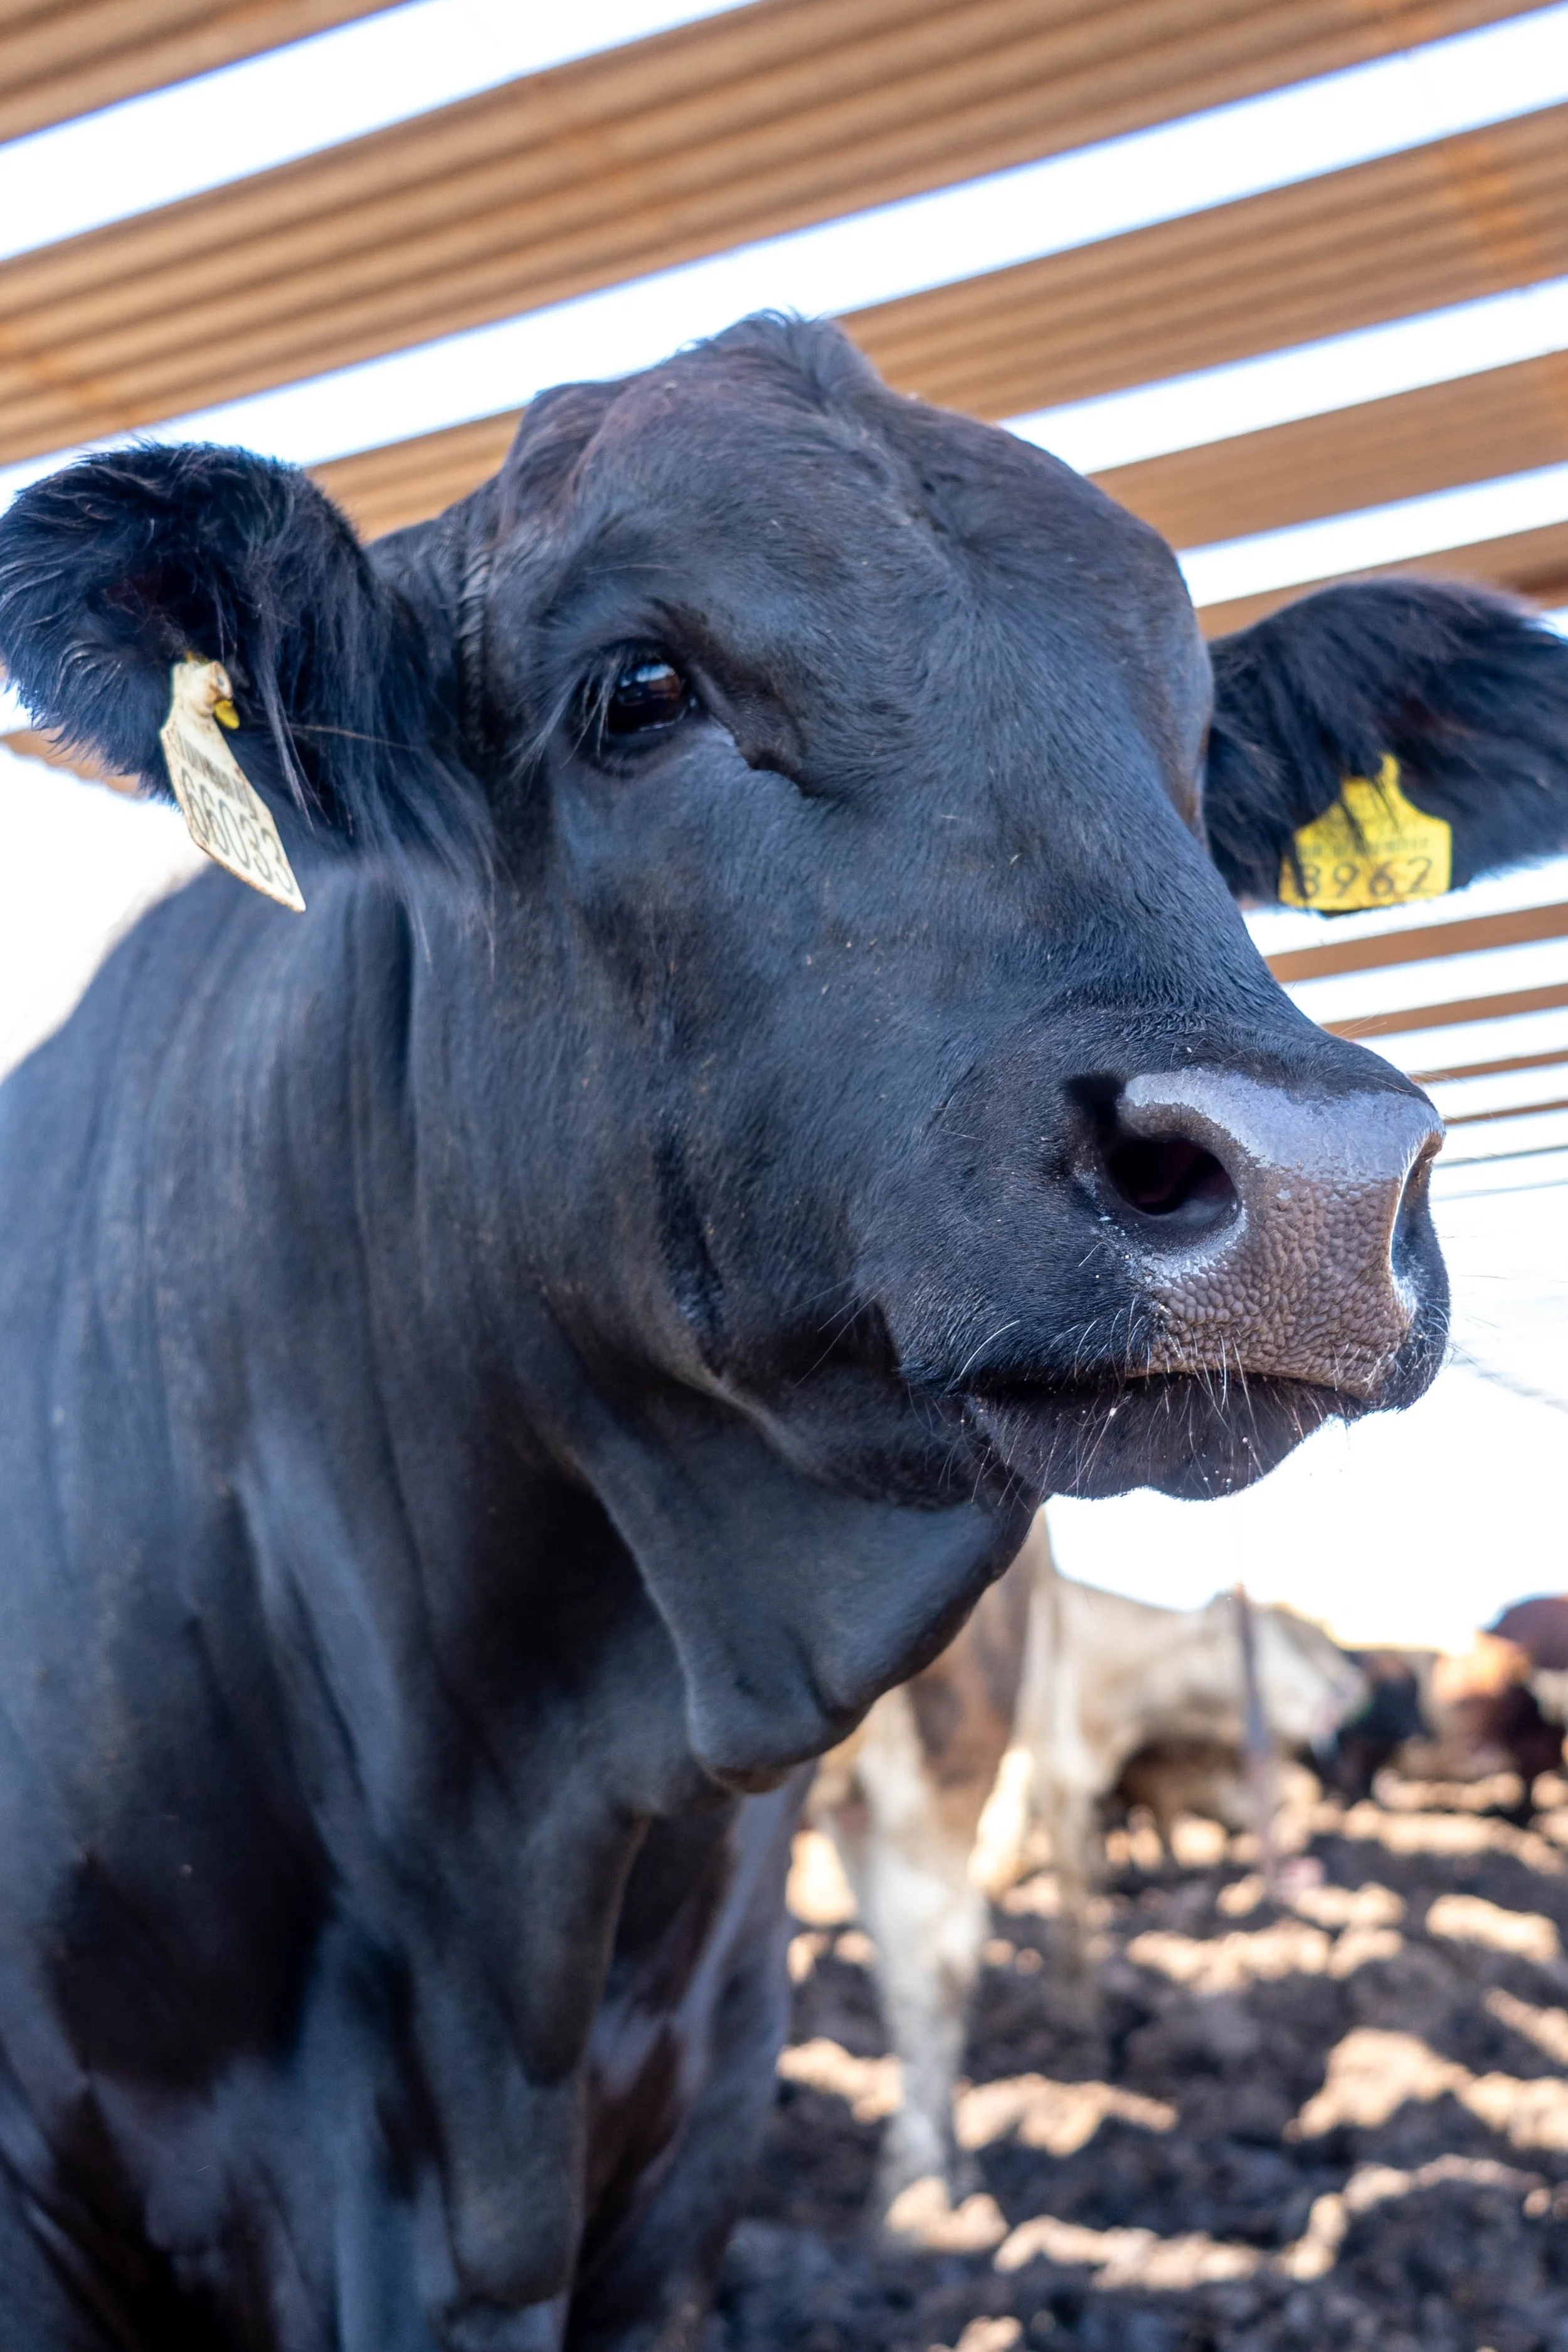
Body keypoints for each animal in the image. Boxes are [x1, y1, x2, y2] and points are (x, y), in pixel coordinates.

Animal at [810, 1512, 1365, 2215]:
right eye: (1274, 1640)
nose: (1348, 1689)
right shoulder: (1056, 1765)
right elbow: (1072, 1877)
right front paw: (1079, 2009)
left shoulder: (1062, 1771)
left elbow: (1079, 1881)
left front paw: (1078, 2013)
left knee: (923, 1954)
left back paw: (924, 2189)